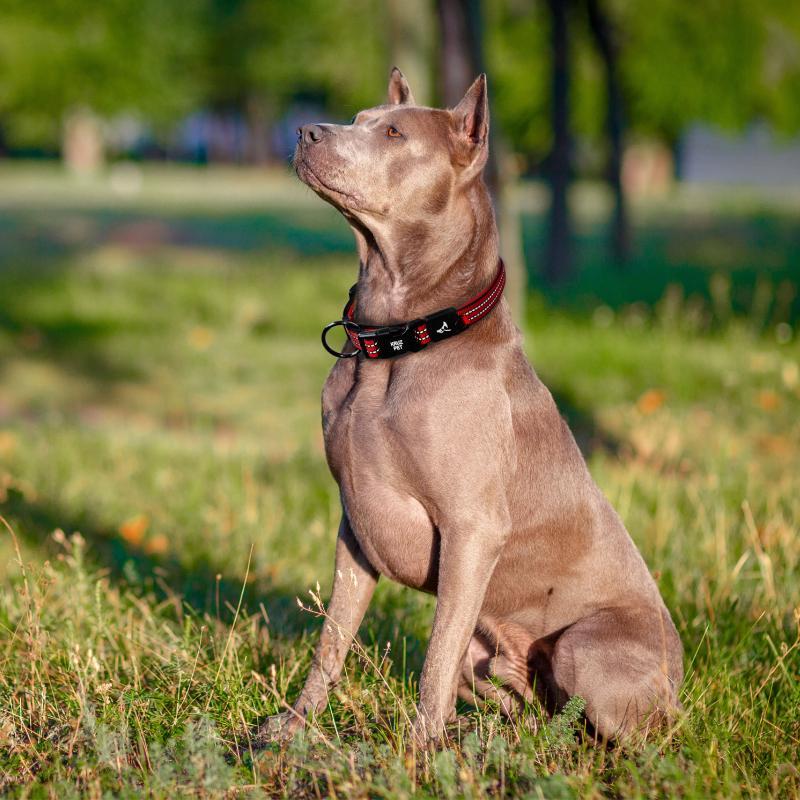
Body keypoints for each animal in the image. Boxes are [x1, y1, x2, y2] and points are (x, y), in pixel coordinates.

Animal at [256, 67, 680, 744]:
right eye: (358, 117)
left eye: (394, 133)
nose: (304, 131)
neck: (399, 338)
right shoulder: (354, 527)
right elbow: (331, 642)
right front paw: (294, 726)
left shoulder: (472, 530)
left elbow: (434, 654)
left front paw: (417, 749)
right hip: (495, 662)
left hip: (585, 650)